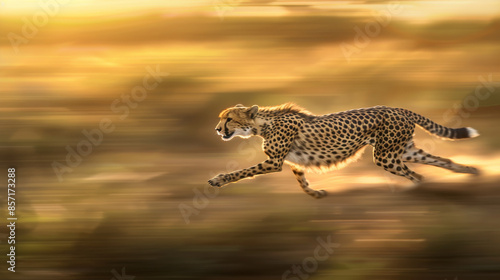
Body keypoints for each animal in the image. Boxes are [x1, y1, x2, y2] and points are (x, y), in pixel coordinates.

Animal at [208, 103, 480, 197]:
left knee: (416, 174)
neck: (263, 124)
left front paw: (218, 179)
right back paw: (471, 172)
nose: (217, 129)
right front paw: (316, 193)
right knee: (440, 161)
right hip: (402, 151)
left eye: (229, 119)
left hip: (386, 156)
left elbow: (243, 172)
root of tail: (398, 108)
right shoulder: (293, 161)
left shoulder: (274, 161)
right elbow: (301, 180)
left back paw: (420, 191)